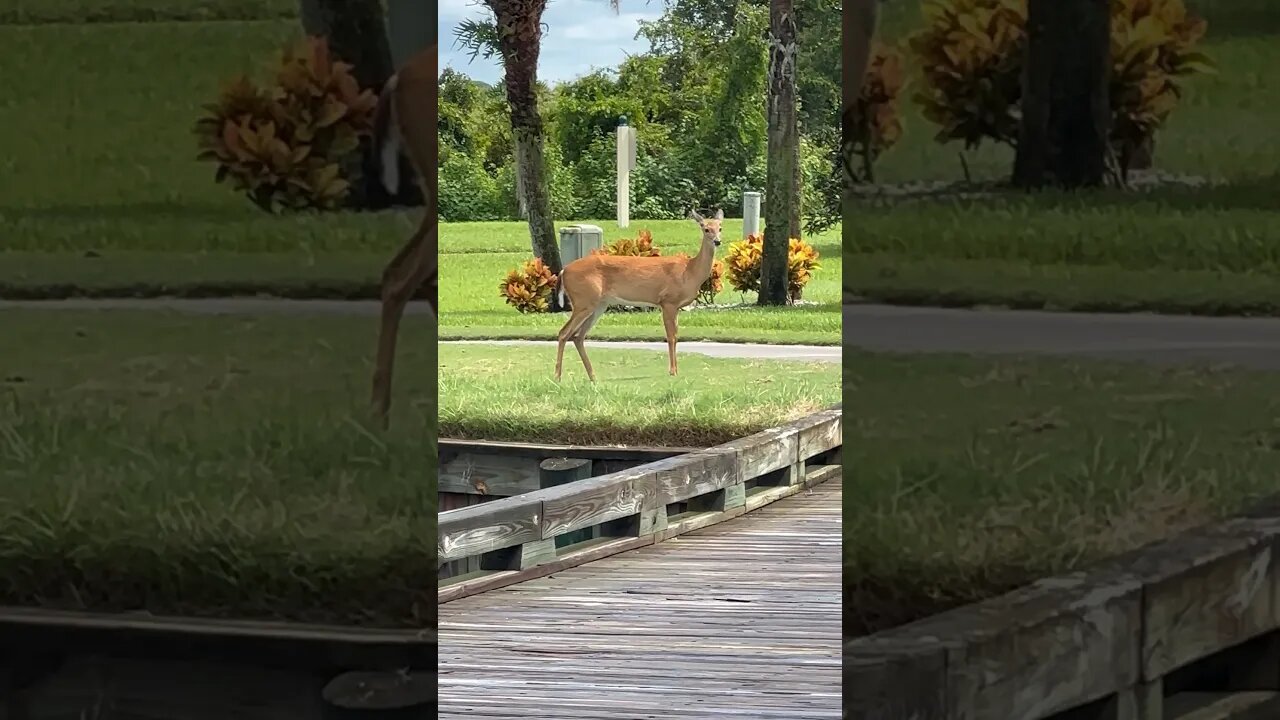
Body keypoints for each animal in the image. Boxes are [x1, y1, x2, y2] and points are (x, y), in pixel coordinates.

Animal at [555, 207, 727, 381]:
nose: (717, 241)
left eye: (720, 228)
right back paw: (558, 376)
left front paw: (675, 370)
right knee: (564, 333)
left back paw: (593, 376)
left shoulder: (676, 306)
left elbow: (676, 335)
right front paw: (673, 371)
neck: (689, 272)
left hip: (598, 304)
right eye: (705, 228)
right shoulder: (668, 301)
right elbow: (671, 336)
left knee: (578, 336)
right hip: (583, 300)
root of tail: (564, 271)